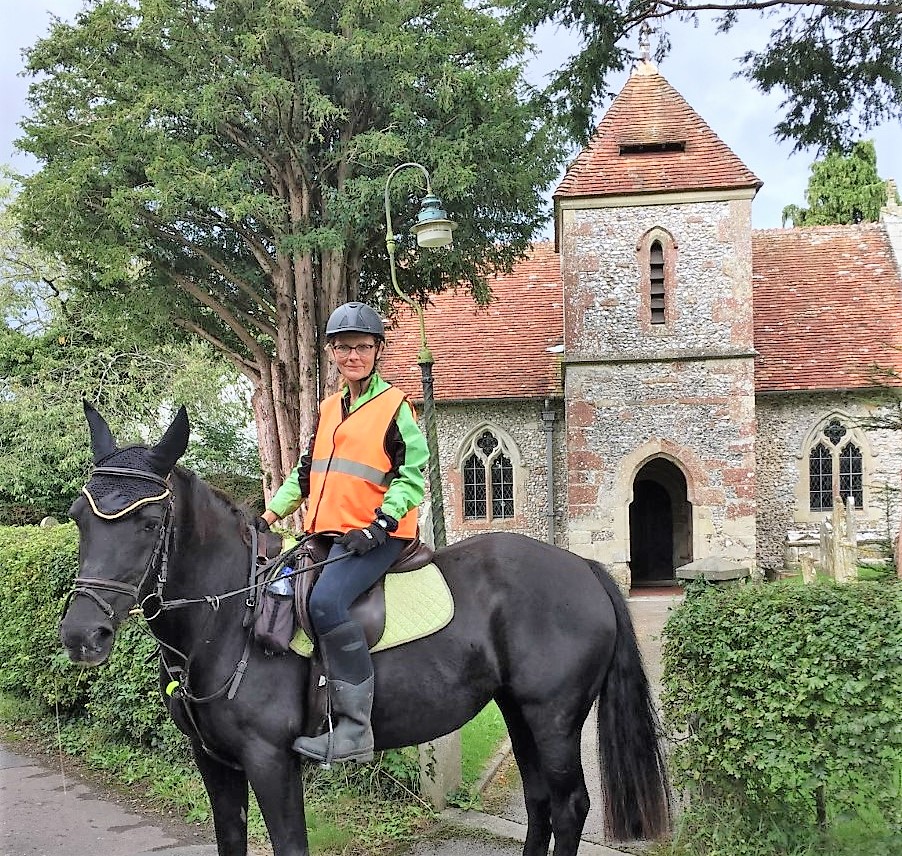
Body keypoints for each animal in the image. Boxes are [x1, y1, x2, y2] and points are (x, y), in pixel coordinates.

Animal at [60, 402, 672, 856]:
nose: (81, 634)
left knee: (568, 807)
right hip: (519, 711)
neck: (232, 615)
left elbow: (290, 845)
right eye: (78, 516)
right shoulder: (214, 762)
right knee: (541, 801)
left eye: (147, 521)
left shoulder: (270, 761)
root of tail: (584, 567)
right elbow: (230, 839)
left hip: (554, 718)